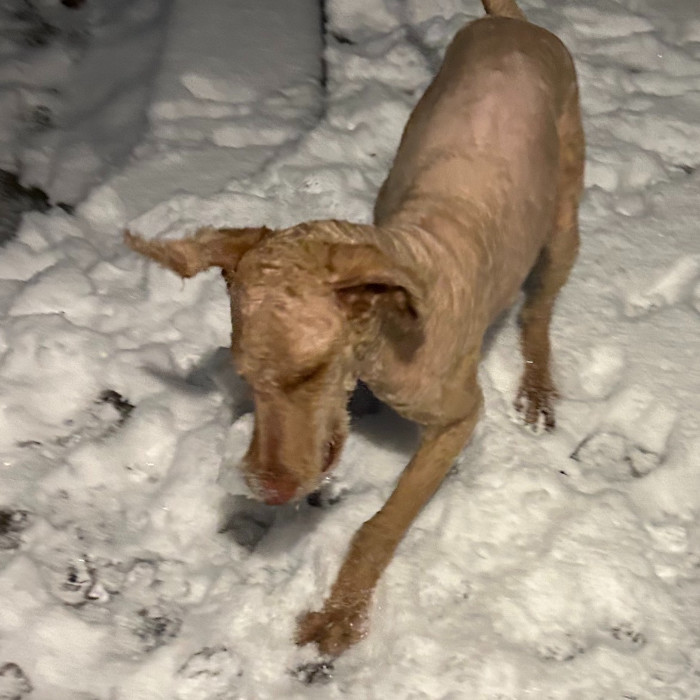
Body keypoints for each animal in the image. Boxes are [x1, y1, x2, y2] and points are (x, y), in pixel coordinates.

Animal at [126, 0, 584, 656]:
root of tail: (512, 23)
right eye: (245, 377)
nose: (265, 488)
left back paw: (538, 384)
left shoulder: (458, 418)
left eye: (312, 369)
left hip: (563, 214)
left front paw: (340, 616)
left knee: (538, 307)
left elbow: (380, 524)